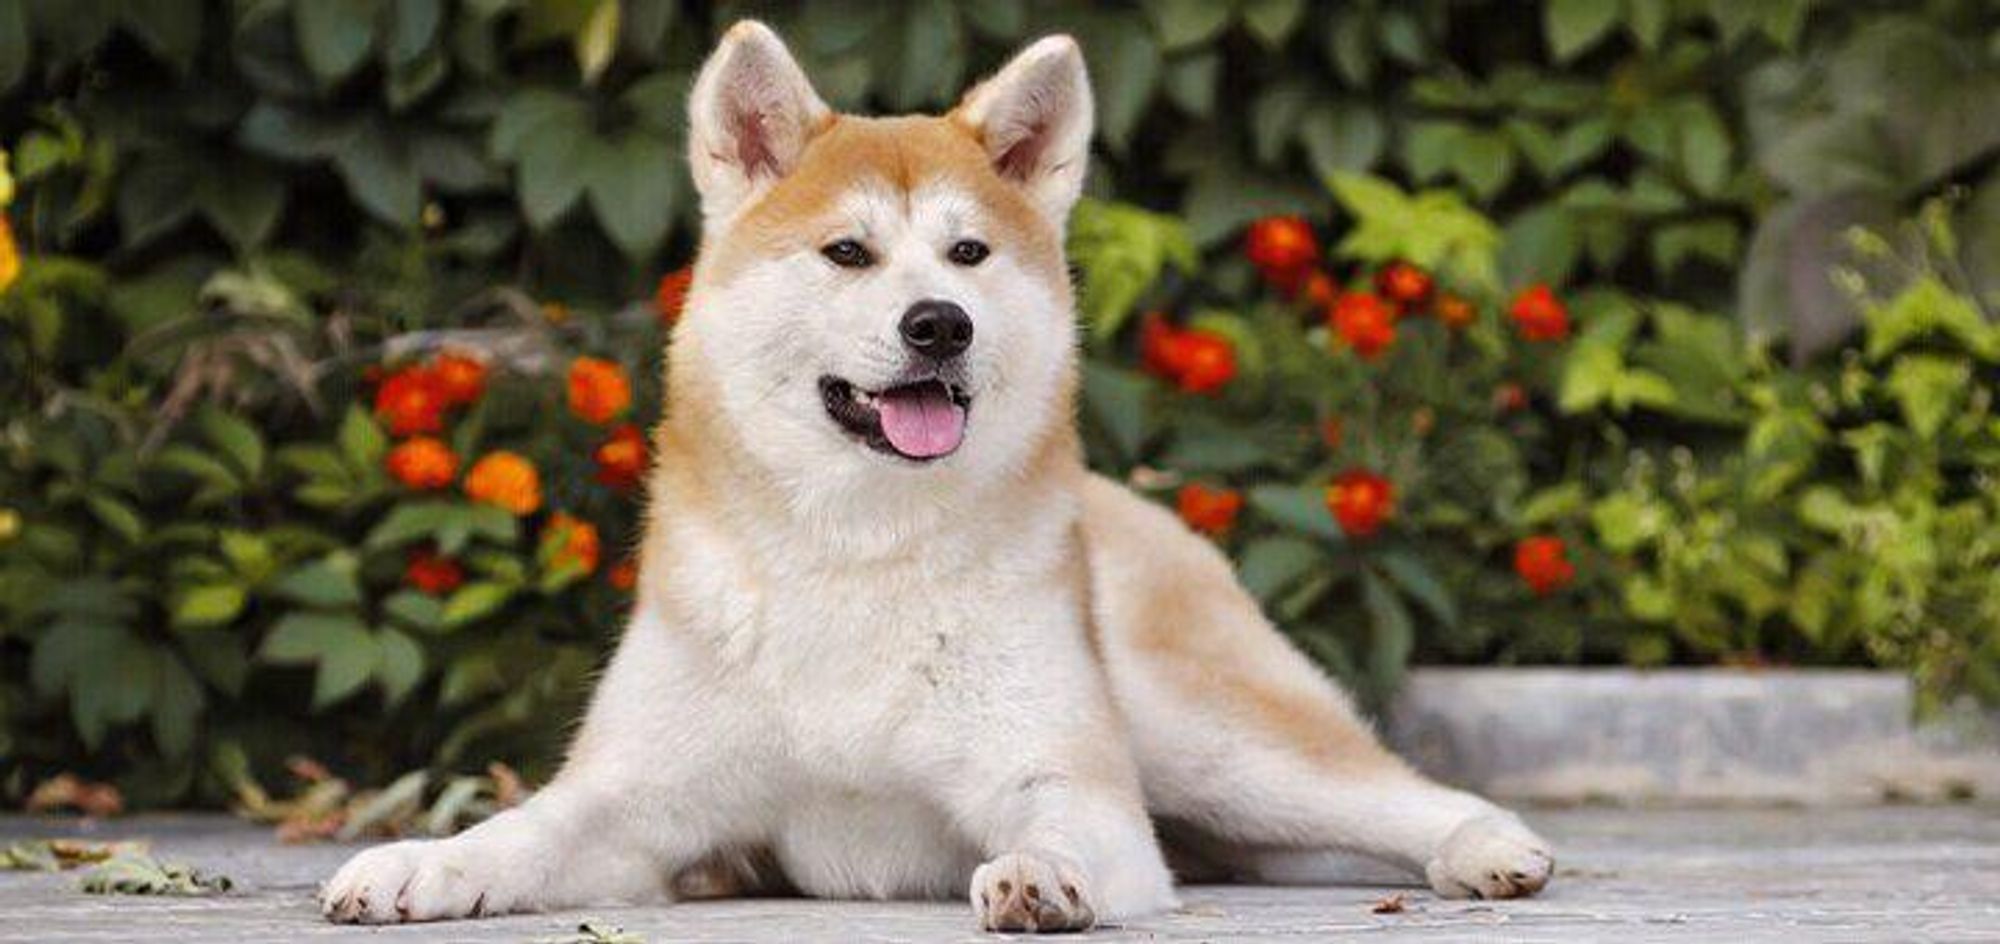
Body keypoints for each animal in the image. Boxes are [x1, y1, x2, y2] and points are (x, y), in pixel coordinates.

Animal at [320, 20, 1552, 928]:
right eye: (848, 253)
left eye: (968, 254)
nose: (938, 323)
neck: (858, 554)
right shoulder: (633, 802)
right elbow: (525, 828)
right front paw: (422, 860)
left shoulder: (1073, 787)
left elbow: (1056, 828)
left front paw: (1039, 875)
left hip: (1201, 739)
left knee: (1399, 791)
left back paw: (1488, 849)